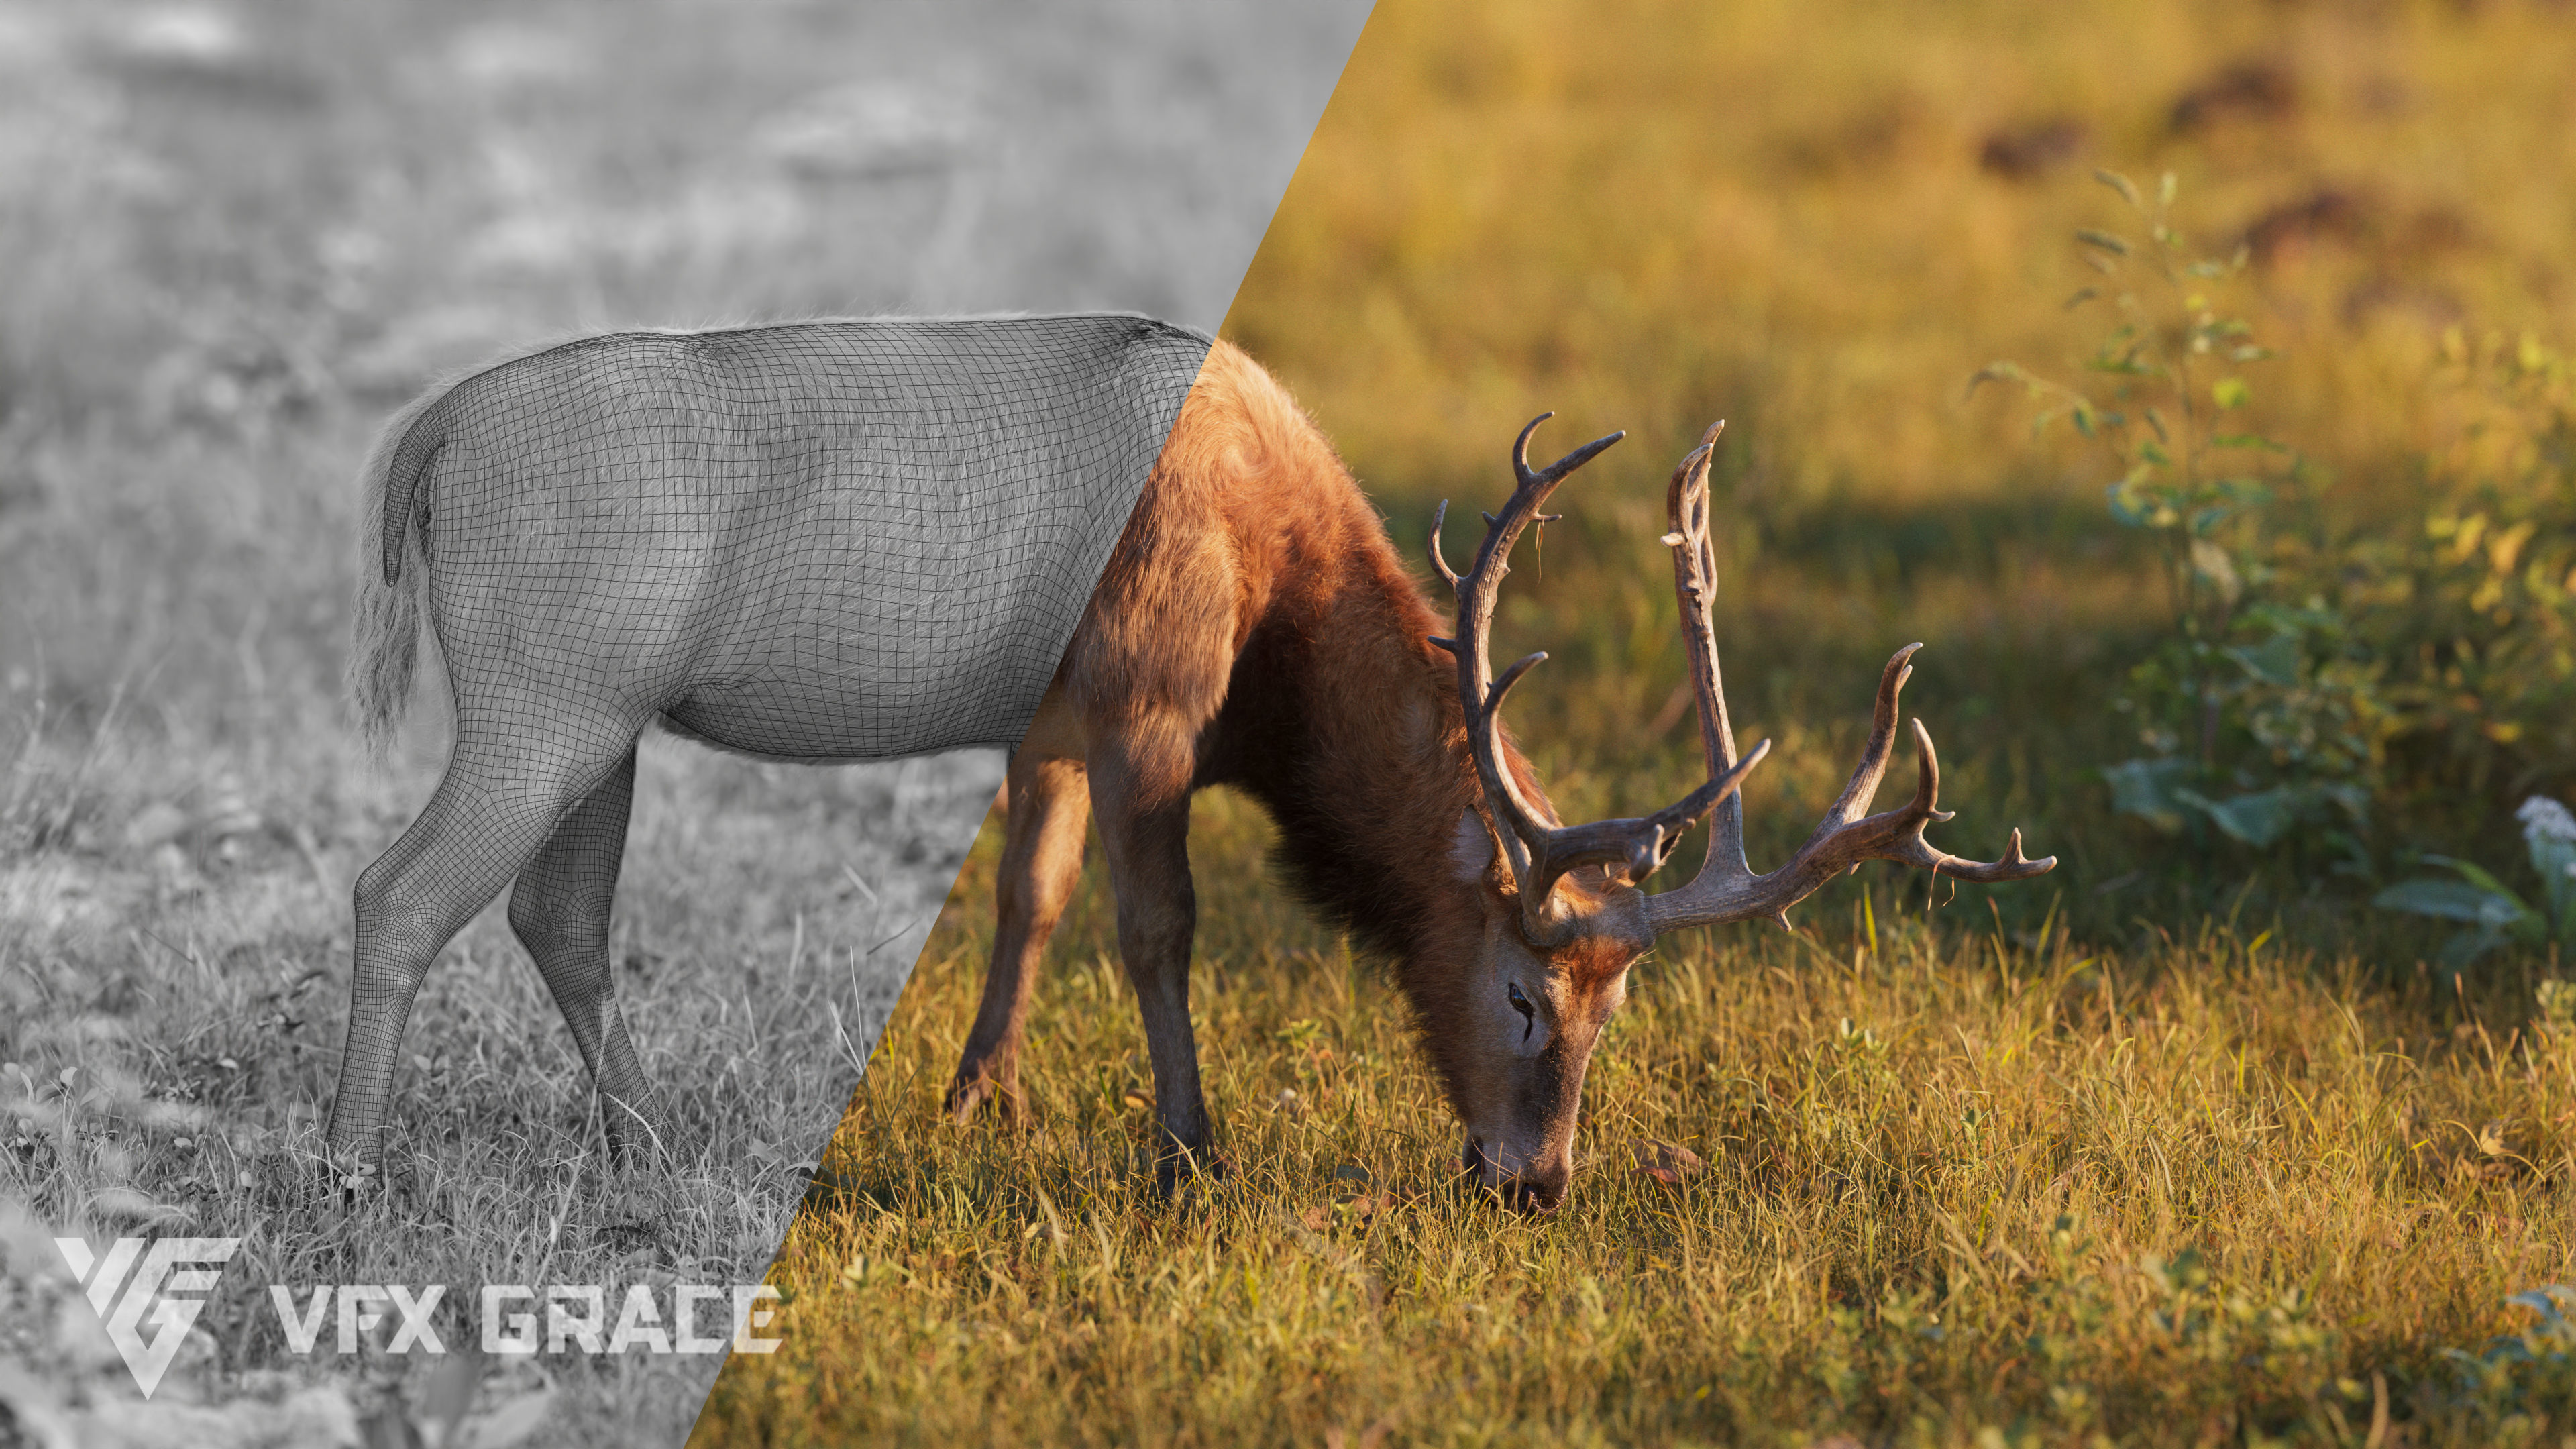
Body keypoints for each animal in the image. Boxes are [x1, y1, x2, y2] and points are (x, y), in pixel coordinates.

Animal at [327, 312, 1210, 1181]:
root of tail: (442, 421)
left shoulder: (1052, 742)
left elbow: (1037, 889)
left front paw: (990, 1108)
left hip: (595, 738)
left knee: (559, 917)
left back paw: (651, 1149)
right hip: (542, 725)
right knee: (402, 895)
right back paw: (351, 1171)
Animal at [942, 339, 2055, 1209]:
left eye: (1615, 1009)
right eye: (1523, 997)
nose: (1537, 1184)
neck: (1268, 694)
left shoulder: (1055, 732)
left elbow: (1032, 892)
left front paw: (980, 1100)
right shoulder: (1140, 701)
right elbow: (1158, 928)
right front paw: (1187, 1156)